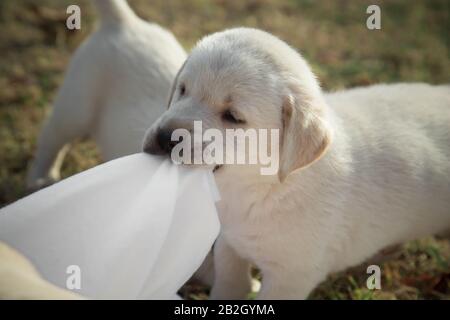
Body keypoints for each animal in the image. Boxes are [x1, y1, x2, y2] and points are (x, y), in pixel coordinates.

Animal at [144, 28, 450, 300]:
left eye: (233, 116)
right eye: (183, 89)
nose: (165, 138)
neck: (263, 188)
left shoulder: (291, 276)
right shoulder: (229, 244)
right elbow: (230, 282)